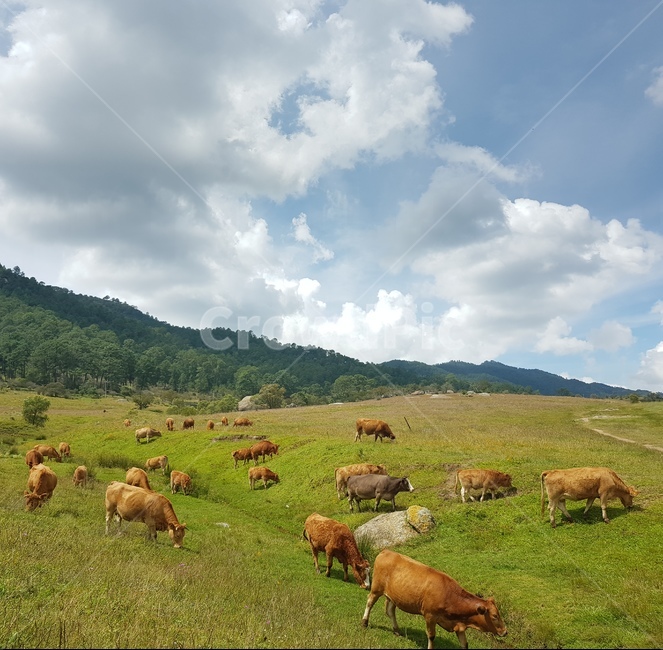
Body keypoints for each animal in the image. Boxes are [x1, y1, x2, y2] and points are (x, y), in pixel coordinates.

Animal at [361, 549, 507, 650]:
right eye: (494, 616)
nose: (505, 632)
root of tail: (386, 551)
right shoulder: (430, 616)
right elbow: (431, 636)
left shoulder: (459, 626)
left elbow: (465, 644)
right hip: (376, 589)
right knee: (369, 602)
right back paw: (364, 622)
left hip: (394, 596)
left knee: (390, 611)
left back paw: (397, 630)